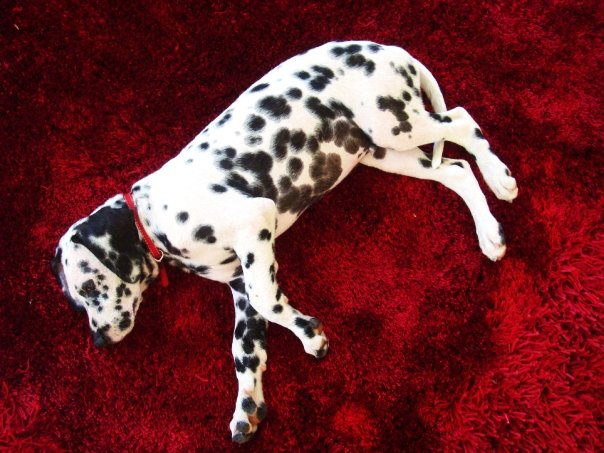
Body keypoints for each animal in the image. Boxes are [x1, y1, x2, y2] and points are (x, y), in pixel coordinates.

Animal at [52, 40, 516, 444]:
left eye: (89, 288)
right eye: (77, 303)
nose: (98, 340)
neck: (153, 217)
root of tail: (387, 49)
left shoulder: (254, 223)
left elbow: (268, 300)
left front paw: (310, 334)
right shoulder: (238, 284)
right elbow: (244, 349)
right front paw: (246, 407)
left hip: (395, 124)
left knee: (462, 120)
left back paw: (500, 177)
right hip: (386, 151)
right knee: (456, 169)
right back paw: (489, 234)